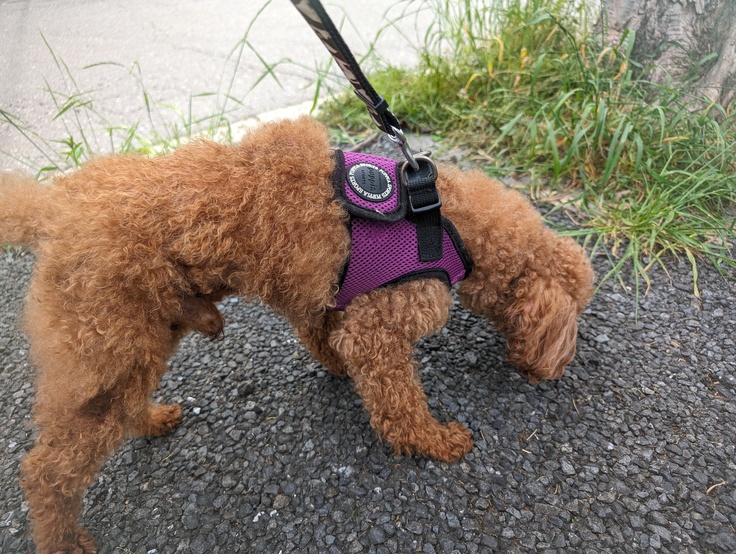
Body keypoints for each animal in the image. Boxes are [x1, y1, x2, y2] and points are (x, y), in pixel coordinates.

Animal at [0, 116, 593, 553]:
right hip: (106, 342)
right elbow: (399, 404)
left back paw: (152, 419)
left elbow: (323, 339)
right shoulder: (380, 326)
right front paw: (435, 442)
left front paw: (338, 370)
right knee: (48, 471)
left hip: (145, 333)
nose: (556, 369)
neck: (445, 220)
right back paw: (64, 540)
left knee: (121, 407)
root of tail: (53, 209)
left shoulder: (321, 297)